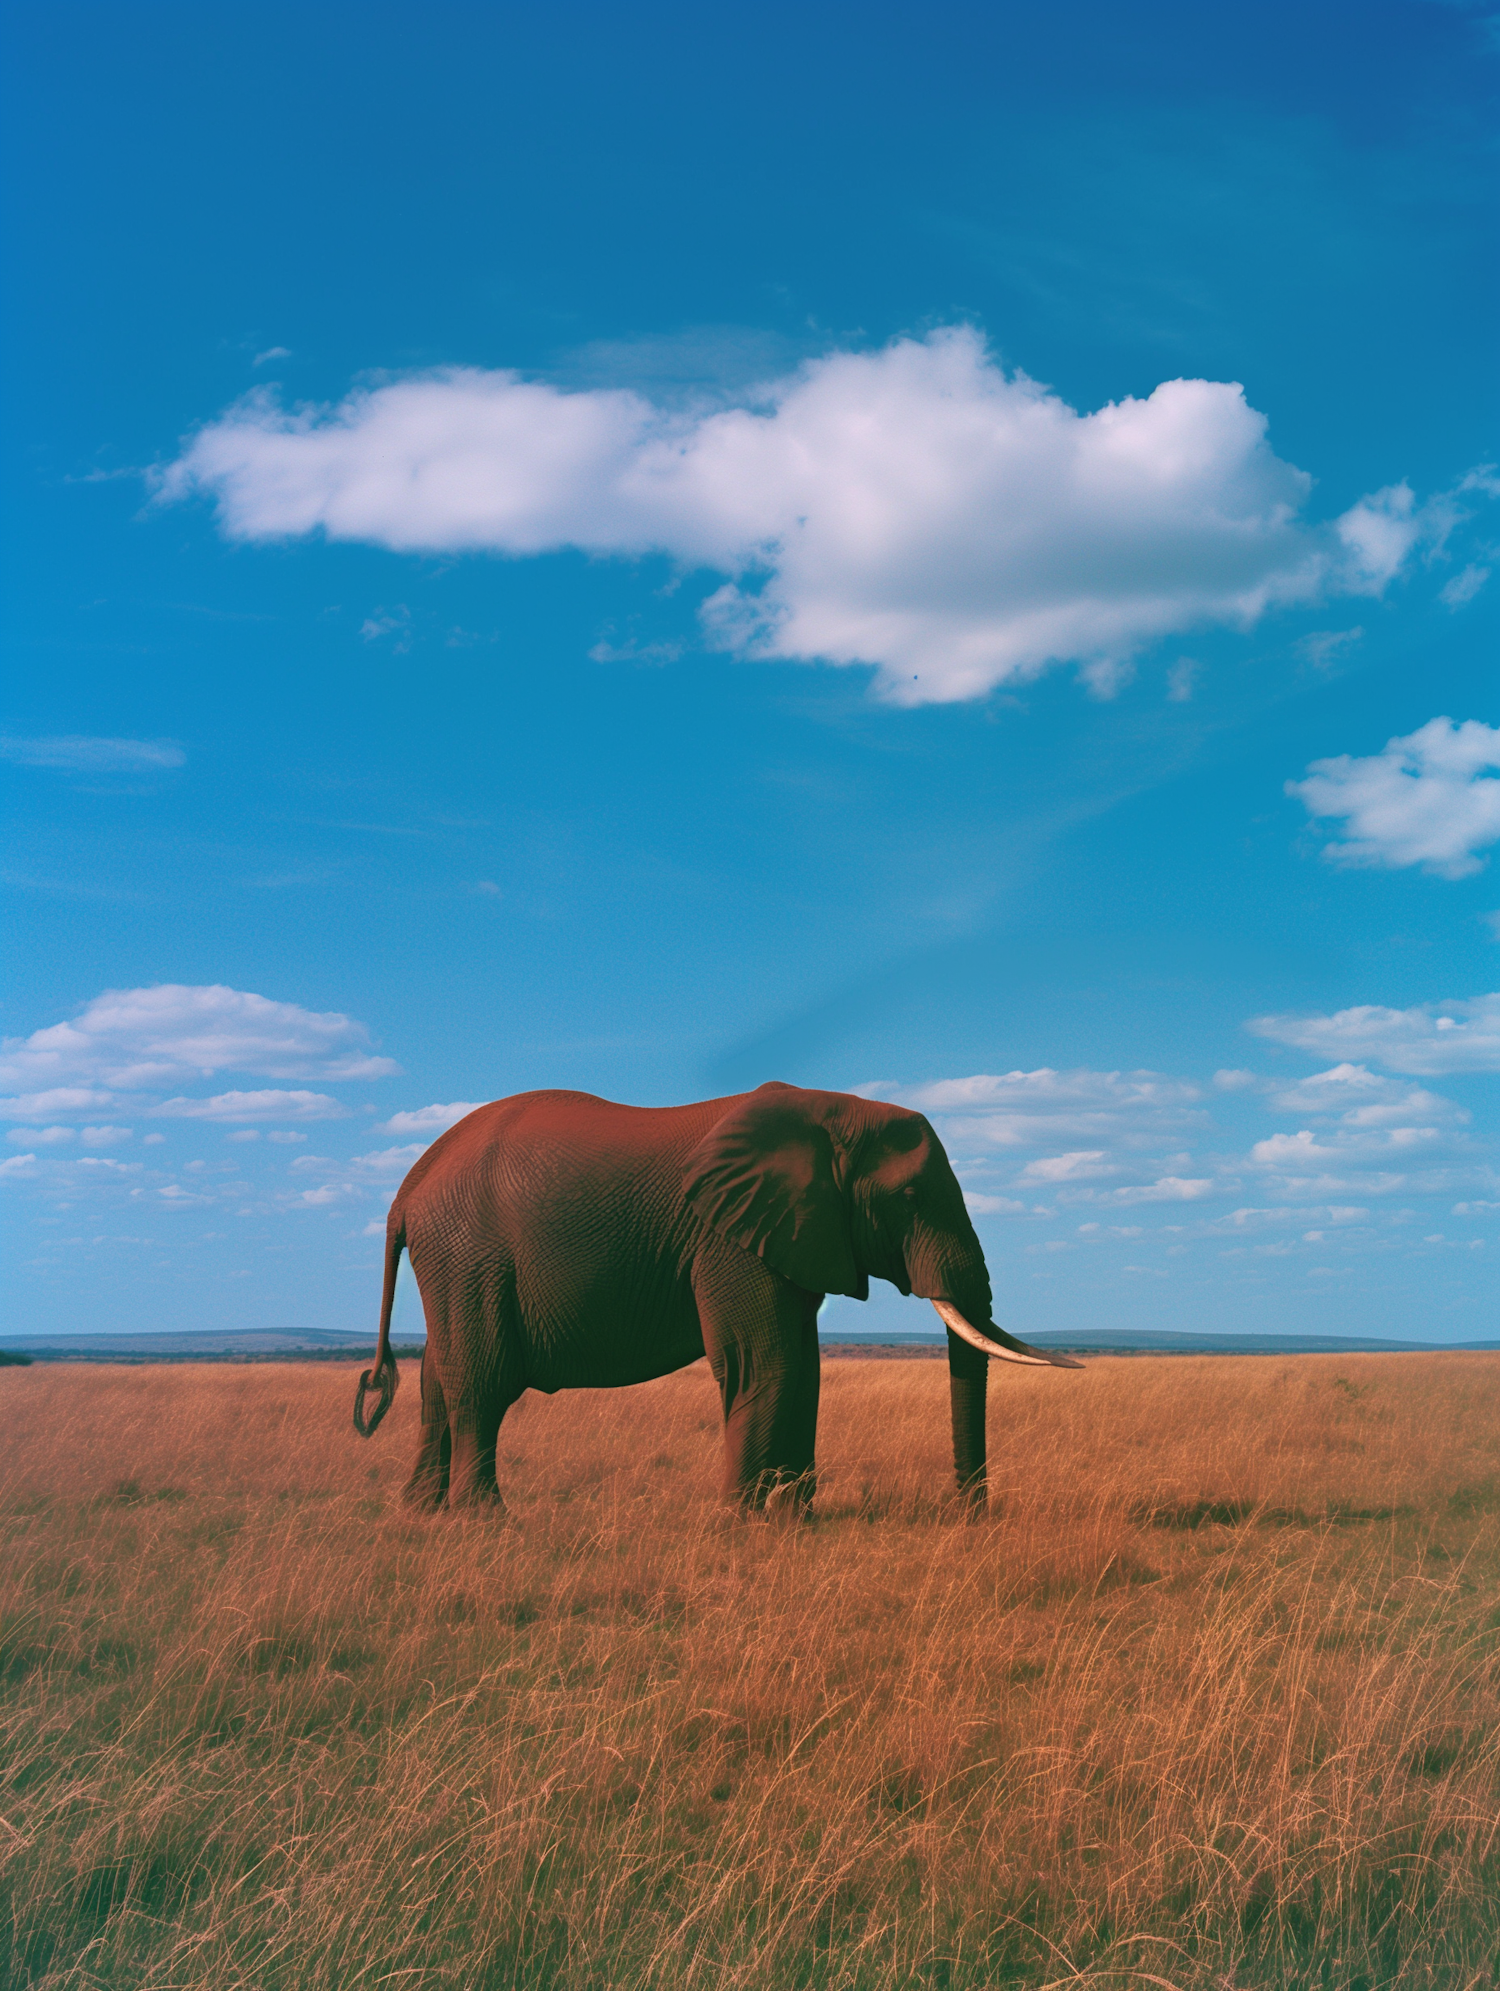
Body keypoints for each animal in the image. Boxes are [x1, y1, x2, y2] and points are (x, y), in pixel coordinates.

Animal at [350, 1083, 1075, 1513]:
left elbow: (803, 1368)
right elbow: (766, 1362)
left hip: (453, 1261)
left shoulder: (789, 1234)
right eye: (910, 1197)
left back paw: (421, 1514)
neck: (829, 1111)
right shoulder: (729, 1237)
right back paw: (483, 1521)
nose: (971, 1516)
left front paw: (796, 1517)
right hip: (469, 1255)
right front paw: (751, 1522)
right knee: (481, 1384)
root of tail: (407, 1189)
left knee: (436, 1380)